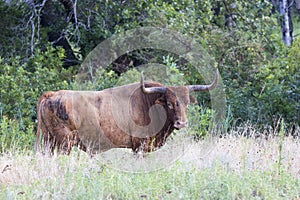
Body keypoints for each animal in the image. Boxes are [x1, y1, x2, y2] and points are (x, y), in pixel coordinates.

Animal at [34, 70, 218, 155]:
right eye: (170, 104)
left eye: (187, 103)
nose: (182, 123)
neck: (148, 104)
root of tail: (51, 95)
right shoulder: (140, 146)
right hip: (64, 143)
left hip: (48, 141)